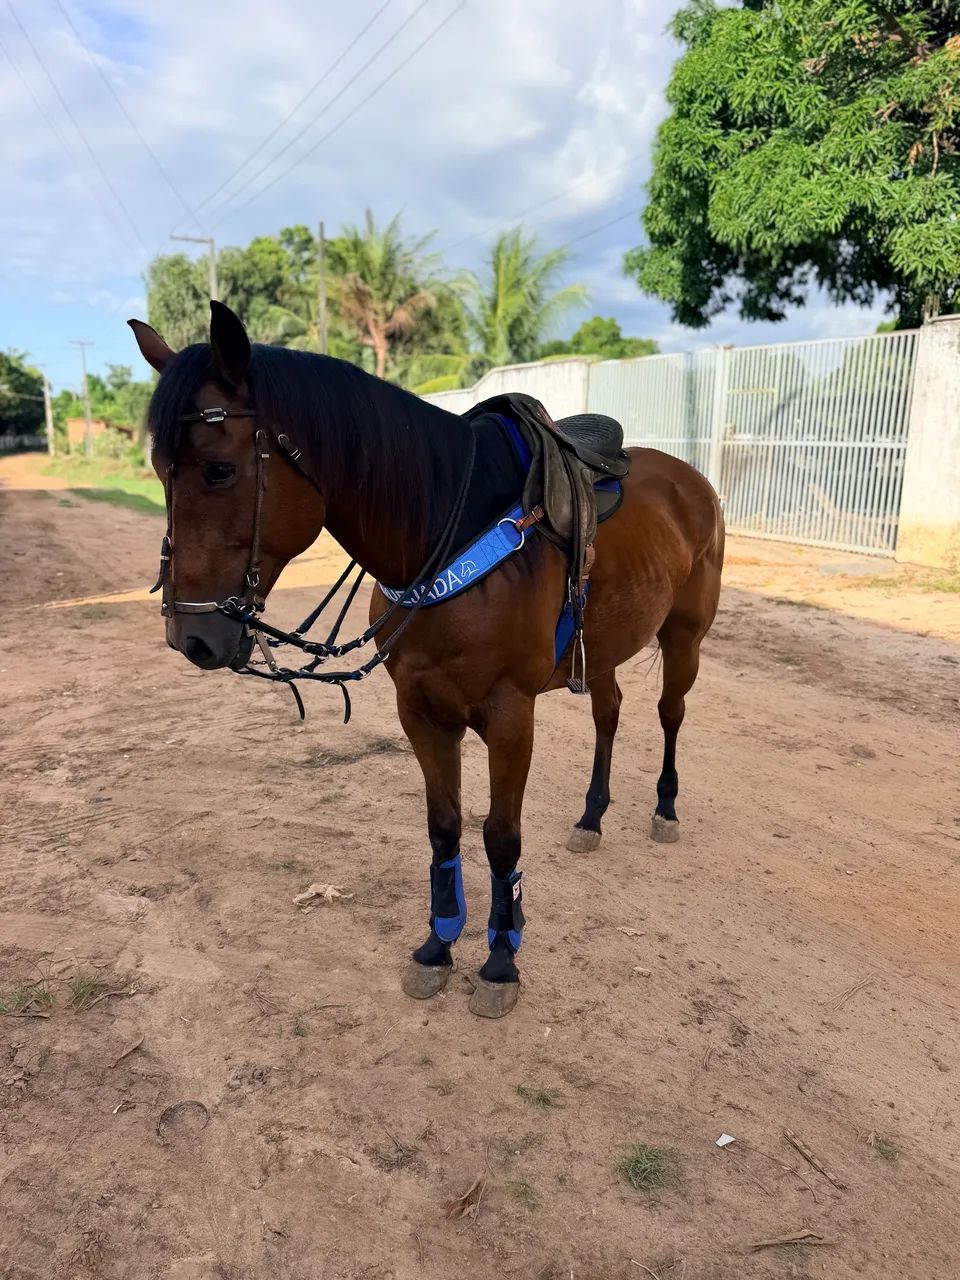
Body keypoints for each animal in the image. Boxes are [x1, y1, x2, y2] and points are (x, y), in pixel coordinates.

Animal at [130, 301, 724, 1019]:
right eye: (159, 468)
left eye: (219, 469)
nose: (190, 637)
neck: (448, 529)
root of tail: (690, 480)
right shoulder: (419, 710)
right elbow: (443, 827)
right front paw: (439, 945)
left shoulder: (509, 717)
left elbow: (500, 835)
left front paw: (500, 961)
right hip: (602, 651)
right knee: (608, 714)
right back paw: (591, 816)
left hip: (684, 639)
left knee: (670, 714)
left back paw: (664, 809)